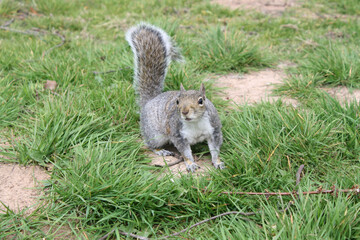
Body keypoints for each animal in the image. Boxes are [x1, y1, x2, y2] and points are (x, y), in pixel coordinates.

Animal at [125, 23, 224, 172]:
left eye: (201, 101)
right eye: (177, 101)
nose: (185, 112)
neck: (195, 122)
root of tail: (149, 101)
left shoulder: (214, 130)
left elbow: (215, 148)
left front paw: (217, 162)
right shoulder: (177, 134)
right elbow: (185, 152)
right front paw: (190, 164)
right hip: (155, 134)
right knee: (150, 144)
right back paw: (160, 150)